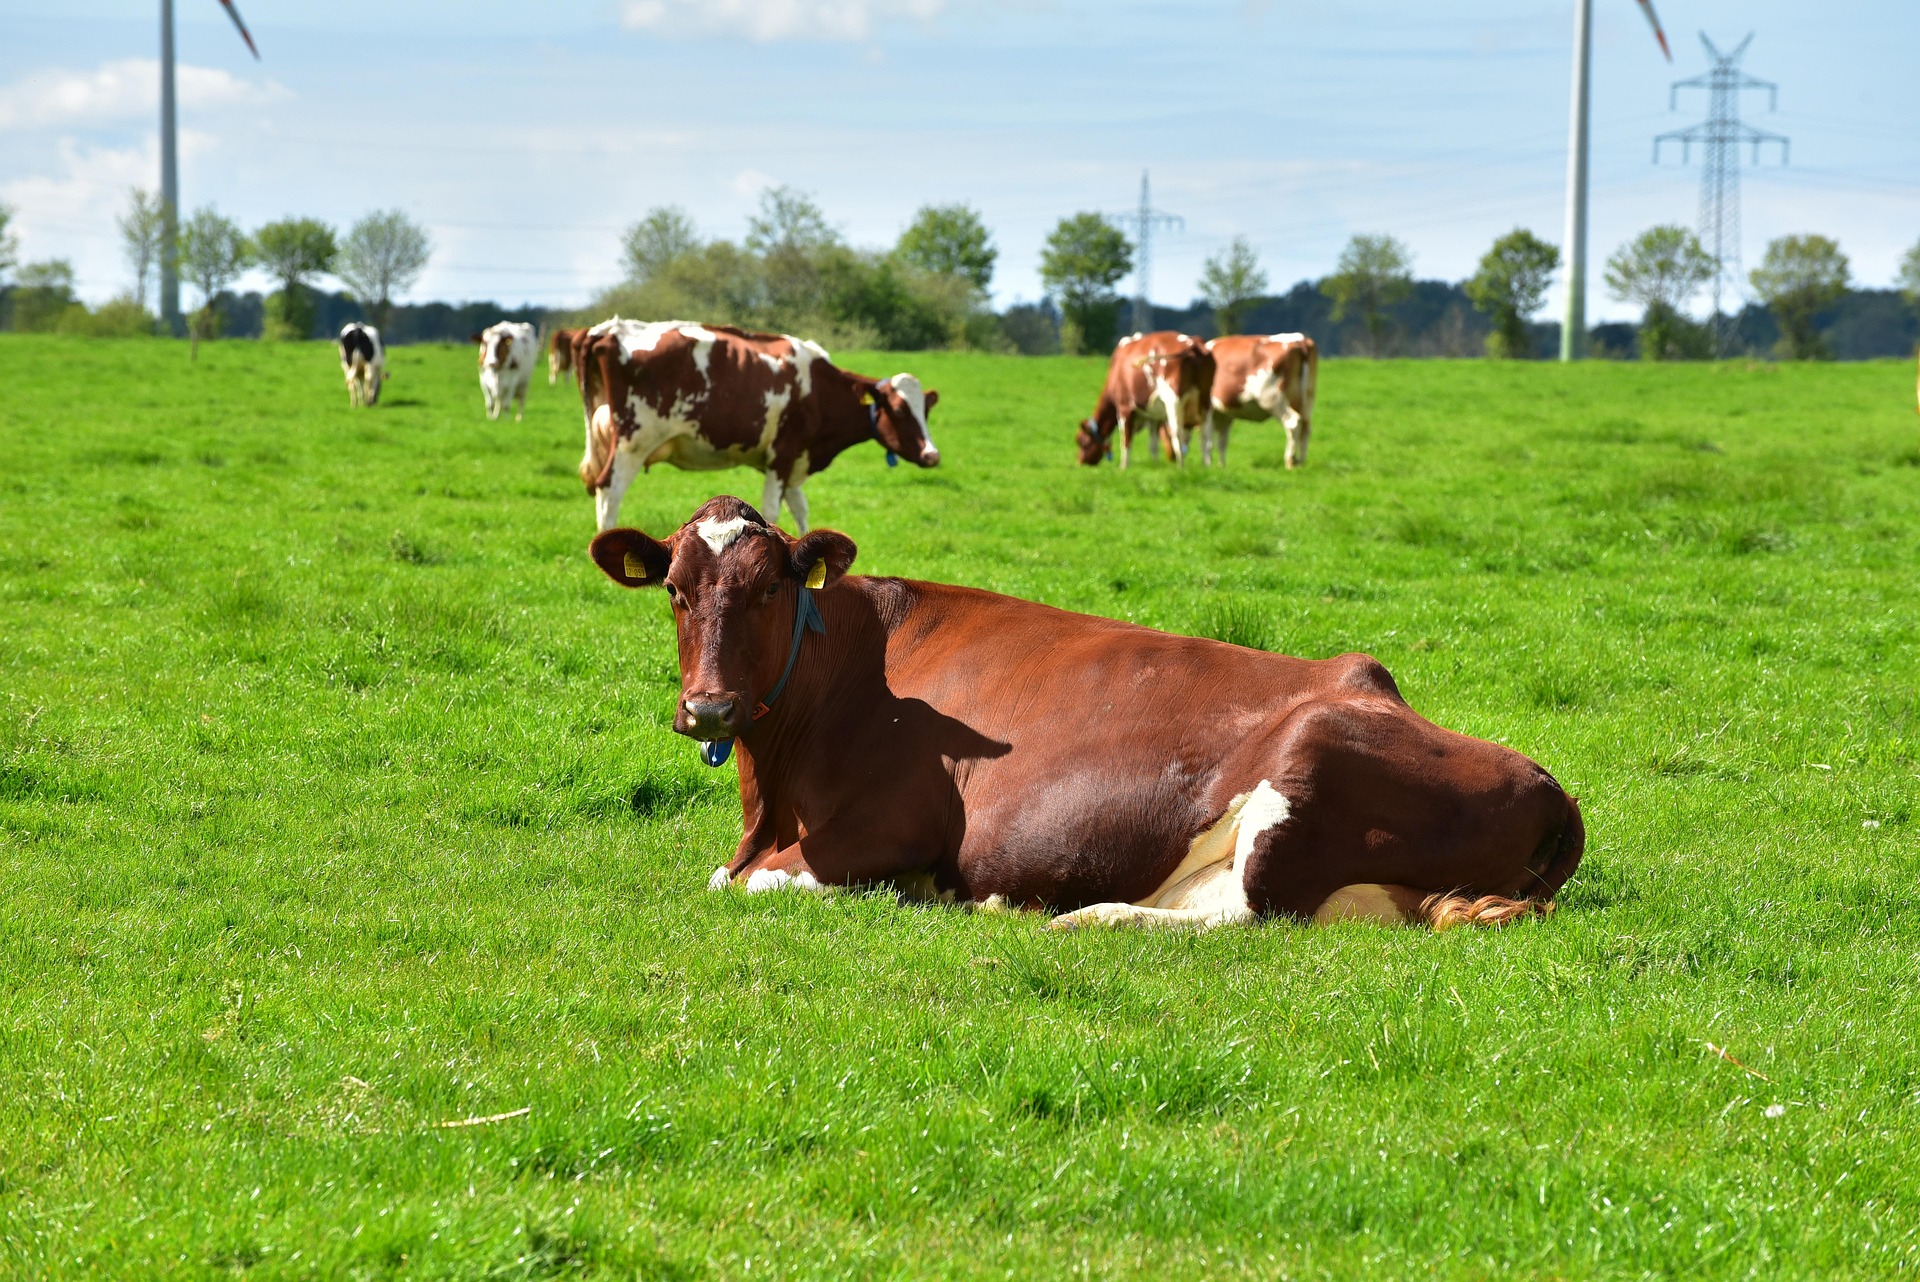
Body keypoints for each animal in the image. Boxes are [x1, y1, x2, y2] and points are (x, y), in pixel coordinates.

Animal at [576, 319, 940, 533]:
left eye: (925, 410)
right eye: (899, 410)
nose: (932, 455)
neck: (817, 389)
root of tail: (609, 329)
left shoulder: (794, 460)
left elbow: (801, 510)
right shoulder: (782, 455)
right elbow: (772, 511)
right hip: (633, 443)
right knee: (609, 490)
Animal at [587, 496, 1586, 932]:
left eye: (769, 588)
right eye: (676, 590)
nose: (708, 705)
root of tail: (1548, 782)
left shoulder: (895, 824)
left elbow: (747, 883)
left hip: (1306, 764)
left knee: (1249, 914)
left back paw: (1086, 918)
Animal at [1075, 331, 1216, 468]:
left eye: (1081, 441)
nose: (1080, 463)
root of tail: (1194, 343)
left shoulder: (1124, 407)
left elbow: (1125, 439)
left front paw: (1123, 467)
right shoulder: (1153, 416)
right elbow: (1153, 445)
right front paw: (1155, 465)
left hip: (1174, 400)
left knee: (1177, 433)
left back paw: (1181, 467)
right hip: (1205, 399)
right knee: (1205, 434)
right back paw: (1206, 466)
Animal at [1204, 333, 1319, 469]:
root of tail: (1300, 339)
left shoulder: (1210, 410)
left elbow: (1208, 441)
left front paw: (1207, 466)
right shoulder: (1225, 414)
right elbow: (1222, 441)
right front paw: (1221, 467)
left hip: (1274, 399)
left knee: (1292, 424)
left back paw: (1290, 462)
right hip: (1306, 401)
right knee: (1305, 428)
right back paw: (1301, 463)